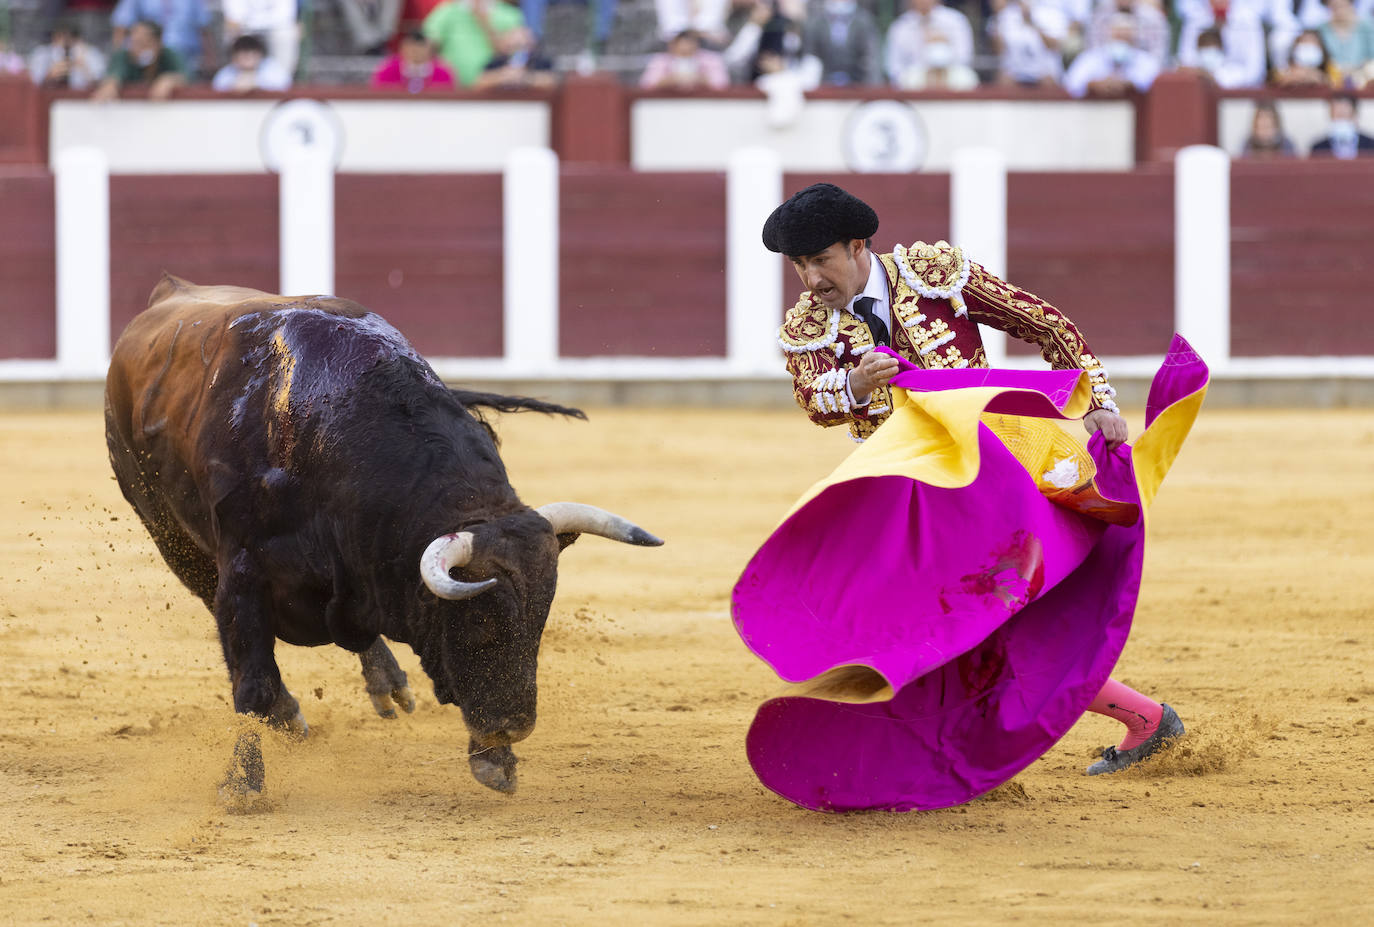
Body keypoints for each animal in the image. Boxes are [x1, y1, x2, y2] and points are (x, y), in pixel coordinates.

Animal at [101, 276, 659, 807]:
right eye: (479, 621)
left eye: (541, 619)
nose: (513, 726)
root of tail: (169, 291)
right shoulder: (241, 575)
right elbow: (252, 680)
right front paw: (243, 787)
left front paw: (495, 761)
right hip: (171, 538)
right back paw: (291, 714)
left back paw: (386, 681)